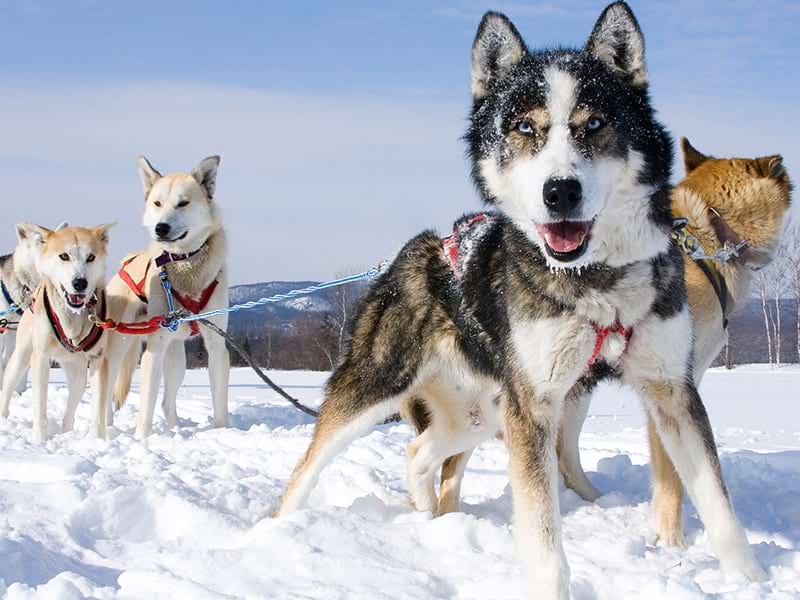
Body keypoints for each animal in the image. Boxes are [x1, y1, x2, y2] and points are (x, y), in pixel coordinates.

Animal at [0, 225, 114, 440]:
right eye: (64, 256)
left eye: (91, 257)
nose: (80, 282)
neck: (72, 317)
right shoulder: (40, 358)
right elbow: (39, 404)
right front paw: (39, 438)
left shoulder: (97, 359)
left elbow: (98, 407)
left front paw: (98, 439)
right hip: (20, 357)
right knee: (8, 385)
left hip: (79, 375)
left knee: (70, 410)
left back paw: (66, 433)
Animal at [102, 155, 228, 436]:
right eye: (157, 203)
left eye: (183, 203)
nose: (161, 227)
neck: (184, 264)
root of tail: (127, 261)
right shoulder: (155, 347)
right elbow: (146, 402)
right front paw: (142, 437)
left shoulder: (216, 343)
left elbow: (220, 400)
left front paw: (222, 430)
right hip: (118, 348)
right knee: (107, 391)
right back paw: (106, 427)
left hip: (176, 360)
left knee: (167, 402)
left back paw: (175, 428)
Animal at [278, 3, 764, 596]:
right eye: (524, 127)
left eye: (594, 124)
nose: (561, 192)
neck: (592, 279)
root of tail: (411, 253)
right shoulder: (533, 408)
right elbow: (543, 532)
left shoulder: (672, 390)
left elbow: (719, 505)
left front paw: (751, 578)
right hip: (384, 386)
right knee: (306, 468)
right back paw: (271, 533)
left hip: (482, 413)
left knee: (419, 451)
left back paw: (427, 515)